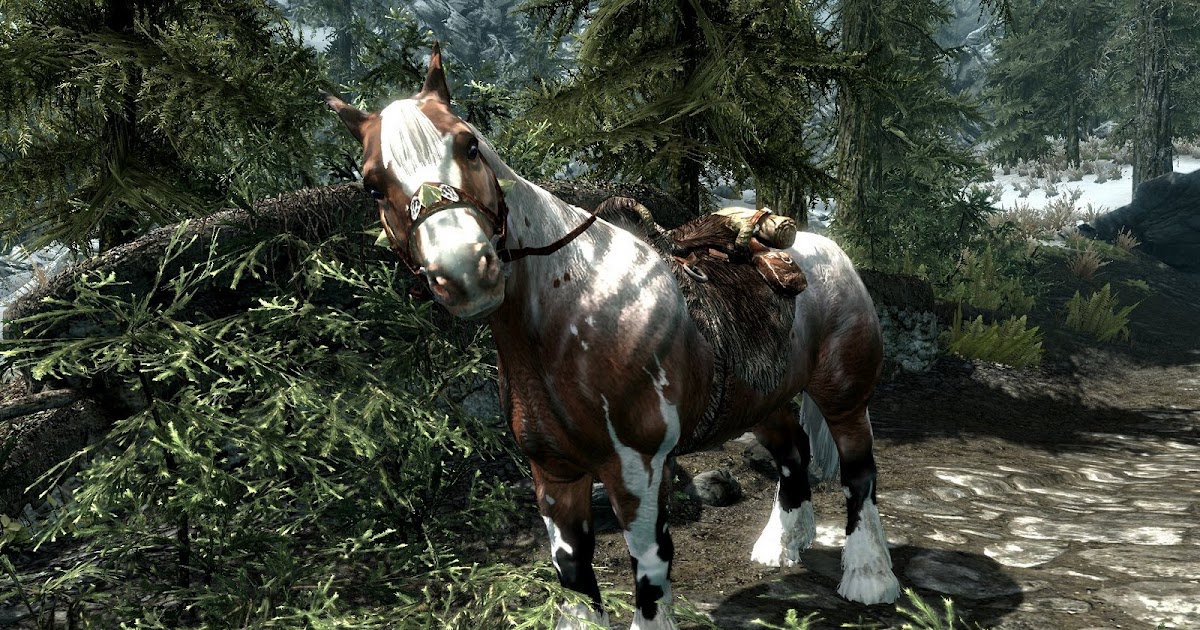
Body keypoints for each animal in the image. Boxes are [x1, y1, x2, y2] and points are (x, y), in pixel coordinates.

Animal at [323, 43, 900, 629]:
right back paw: (781, 547)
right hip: (761, 401)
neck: (574, 317)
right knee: (793, 452)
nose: (465, 271)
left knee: (858, 472)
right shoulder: (554, 475)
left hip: (843, 398)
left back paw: (869, 577)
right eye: (372, 184)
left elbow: (650, 569)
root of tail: (829, 252)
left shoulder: (637, 471)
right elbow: (574, 570)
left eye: (470, 145)